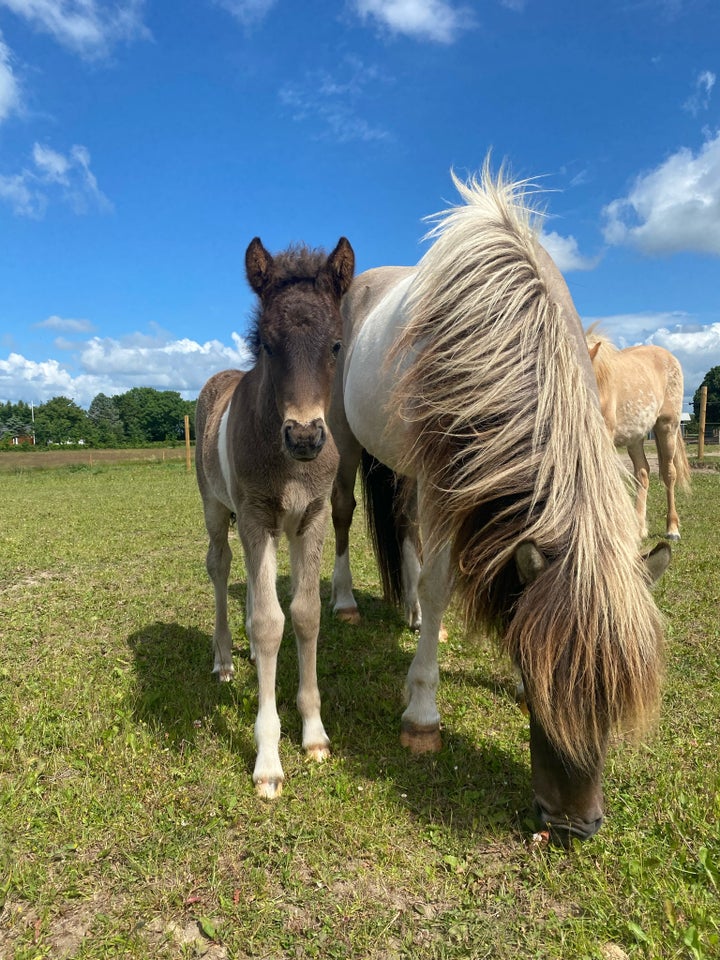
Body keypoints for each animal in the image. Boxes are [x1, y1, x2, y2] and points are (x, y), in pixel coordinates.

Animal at [197, 236, 354, 800]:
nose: (305, 436)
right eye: (266, 343)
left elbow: (305, 614)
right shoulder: (255, 515)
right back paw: (224, 658)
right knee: (220, 566)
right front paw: (268, 759)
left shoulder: (311, 518)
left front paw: (315, 735)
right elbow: (269, 623)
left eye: (336, 345)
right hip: (217, 508)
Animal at [330, 167, 668, 848]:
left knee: (404, 525)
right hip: (353, 442)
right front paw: (423, 713)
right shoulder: (446, 483)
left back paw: (409, 616)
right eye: (544, 693)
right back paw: (349, 602)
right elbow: (439, 586)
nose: (573, 827)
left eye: (615, 703)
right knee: (348, 515)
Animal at [588, 332, 688, 540]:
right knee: (642, 473)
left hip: (668, 428)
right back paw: (639, 528)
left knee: (669, 473)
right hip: (635, 438)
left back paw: (672, 529)